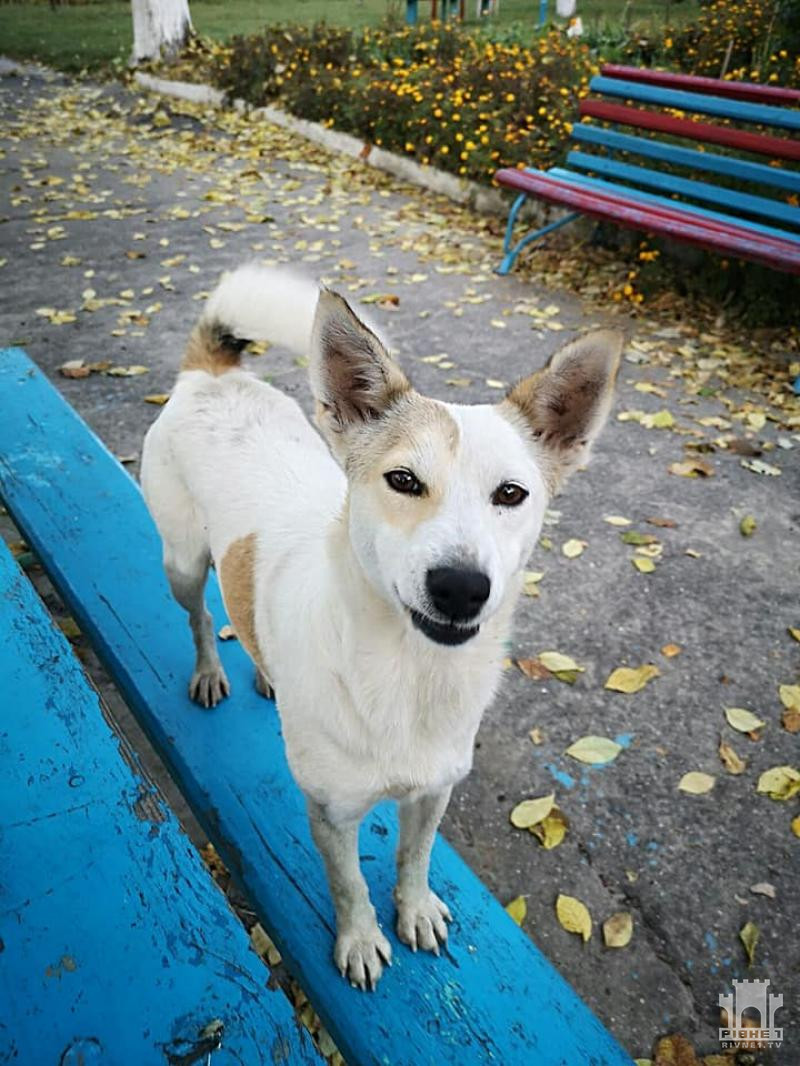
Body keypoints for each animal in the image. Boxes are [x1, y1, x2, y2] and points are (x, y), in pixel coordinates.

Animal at [140, 264, 622, 989]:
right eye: (403, 480)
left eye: (511, 494)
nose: (461, 587)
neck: (410, 675)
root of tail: (212, 373)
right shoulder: (332, 813)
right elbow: (349, 886)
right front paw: (362, 938)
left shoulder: (434, 791)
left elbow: (413, 858)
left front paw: (415, 909)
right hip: (182, 562)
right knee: (198, 615)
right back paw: (208, 672)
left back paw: (266, 674)